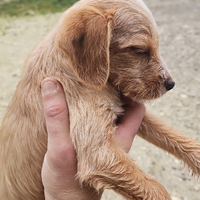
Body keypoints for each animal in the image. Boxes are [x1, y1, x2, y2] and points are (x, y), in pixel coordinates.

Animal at [0, 0, 200, 200]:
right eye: (139, 50)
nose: (171, 84)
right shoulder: (98, 153)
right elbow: (156, 189)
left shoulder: (124, 107)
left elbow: (172, 134)